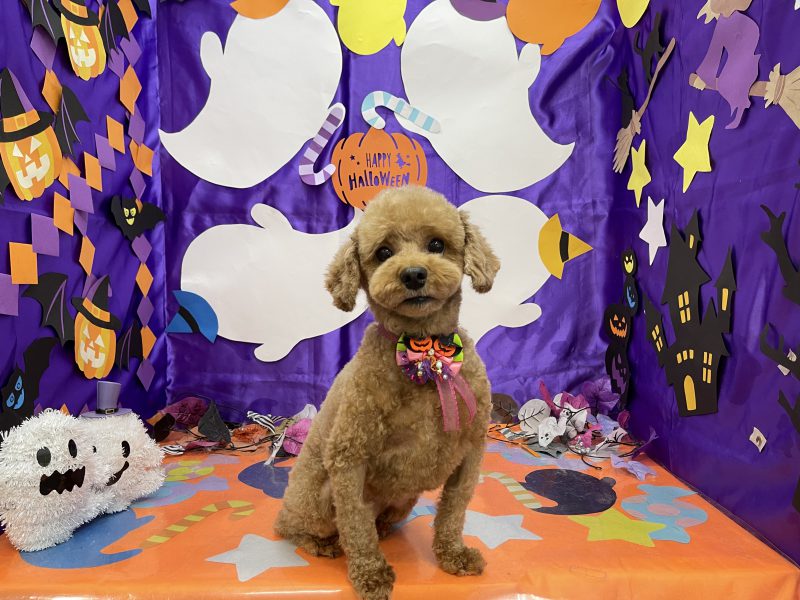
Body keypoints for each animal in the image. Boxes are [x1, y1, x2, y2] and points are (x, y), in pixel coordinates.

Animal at [274, 186, 500, 599]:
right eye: (383, 252)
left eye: (436, 244)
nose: (413, 274)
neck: (424, 352)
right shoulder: (348, 457)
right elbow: (355, 527)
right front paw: (371, 575)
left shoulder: (472, 448)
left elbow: (453, 510)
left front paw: (453, 555)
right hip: (316, 497)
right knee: (299, 528)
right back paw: (321, 542)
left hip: (404, 498)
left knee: (379, 519)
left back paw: (382, 528)